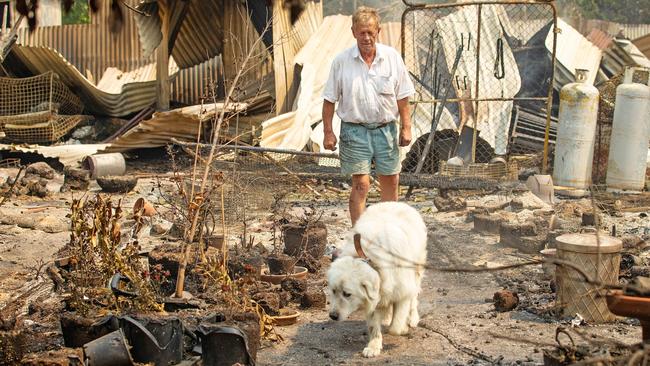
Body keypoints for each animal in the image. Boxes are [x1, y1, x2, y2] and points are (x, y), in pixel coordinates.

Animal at [326, 200, 428, 358]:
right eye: (333, 291)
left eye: (347, 294)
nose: (333, 316)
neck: (370, 259)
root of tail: (397, 203)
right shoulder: (372, 299)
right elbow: (374, 325)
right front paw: (373, 346)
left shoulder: (403, 291)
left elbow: (395, 328)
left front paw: (403, 328)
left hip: (416, 268)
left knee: (414, 296)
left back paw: (412, 318)